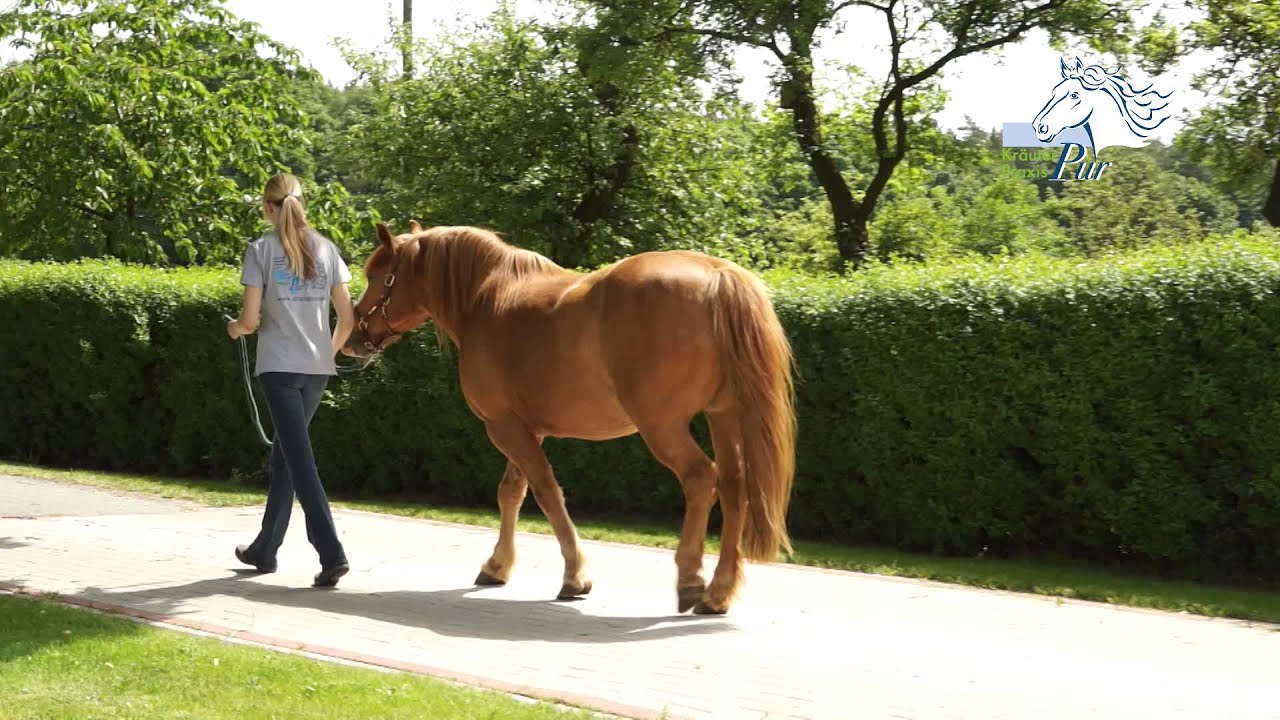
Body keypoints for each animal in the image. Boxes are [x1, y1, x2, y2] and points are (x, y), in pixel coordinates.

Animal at [341, 221, 796, 615]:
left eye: (379, 276)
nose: (352, 339)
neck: (486, 301)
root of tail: (717, 275)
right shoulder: (527, 428)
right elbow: (512, 492)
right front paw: (498, 566)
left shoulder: (504, 426)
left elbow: (546, 491)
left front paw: (575, 575)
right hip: (723, 415)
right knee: (735, 488)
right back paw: (718, 593)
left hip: (663, 426)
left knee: (702, 479)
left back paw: (690, 580)